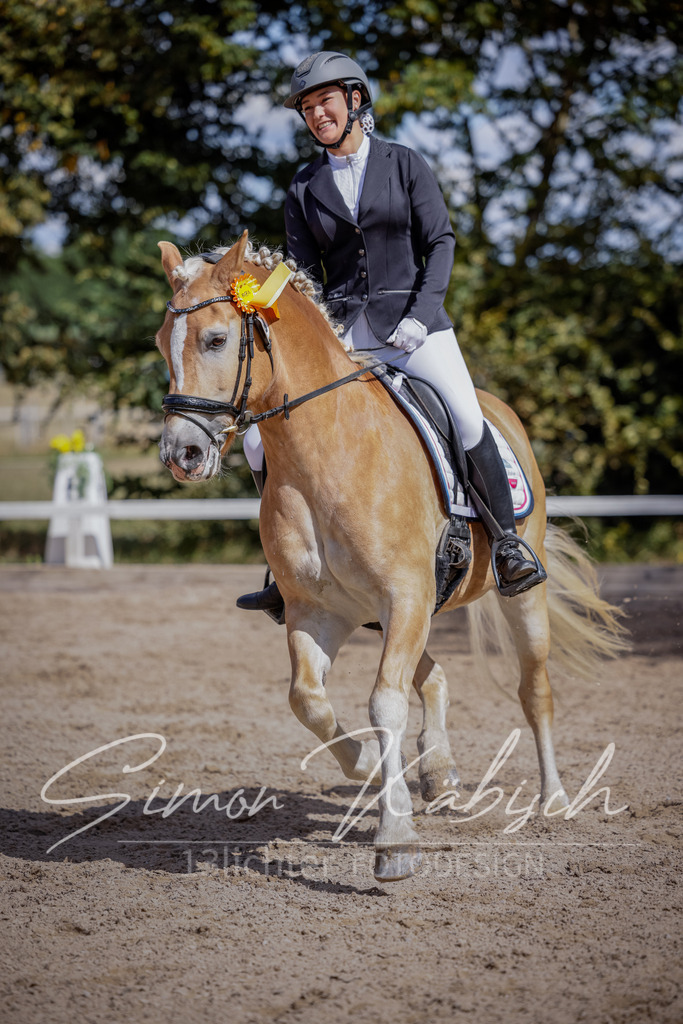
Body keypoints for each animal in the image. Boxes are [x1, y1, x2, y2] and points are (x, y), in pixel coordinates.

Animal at [154, 231, 626, 882]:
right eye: (160, 343)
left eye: (217, 339)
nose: (182, 454)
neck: (324, 453)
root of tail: (500, 411)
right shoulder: (318, 611)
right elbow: (309, 701)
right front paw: (373, 769)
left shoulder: (403, 595)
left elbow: (383, 702)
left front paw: (394, 839)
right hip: (397, 614)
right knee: (434, 677)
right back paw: (437, 772)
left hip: (512, 599)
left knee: (534, 691)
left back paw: (553, 799)